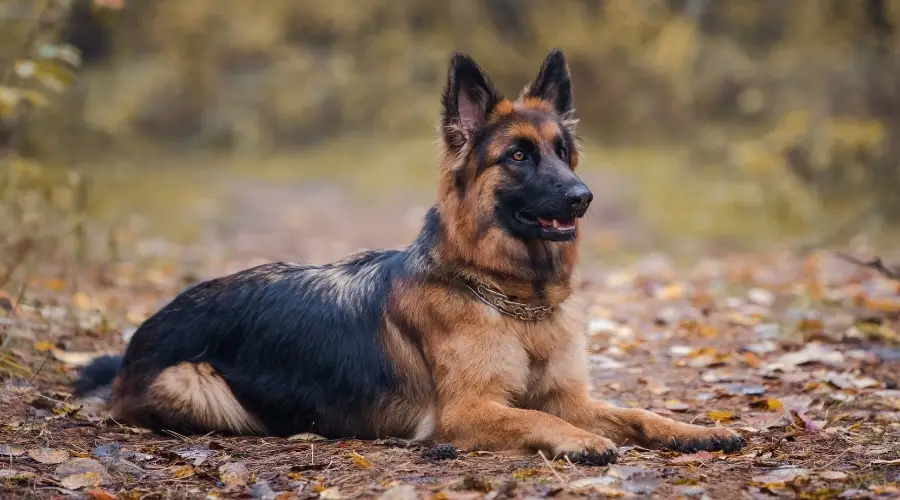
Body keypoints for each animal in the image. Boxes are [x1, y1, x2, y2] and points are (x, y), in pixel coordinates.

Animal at [74, 48, 744, 462]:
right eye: (518, 156)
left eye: (562, 151)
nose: (583, 198)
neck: (511, 300)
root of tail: (140, 336)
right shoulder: (470, 409)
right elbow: (538, 420)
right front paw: (579, 442)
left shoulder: (570, 397)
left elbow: (635, 412)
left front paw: (690, 429)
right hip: (193, 383)